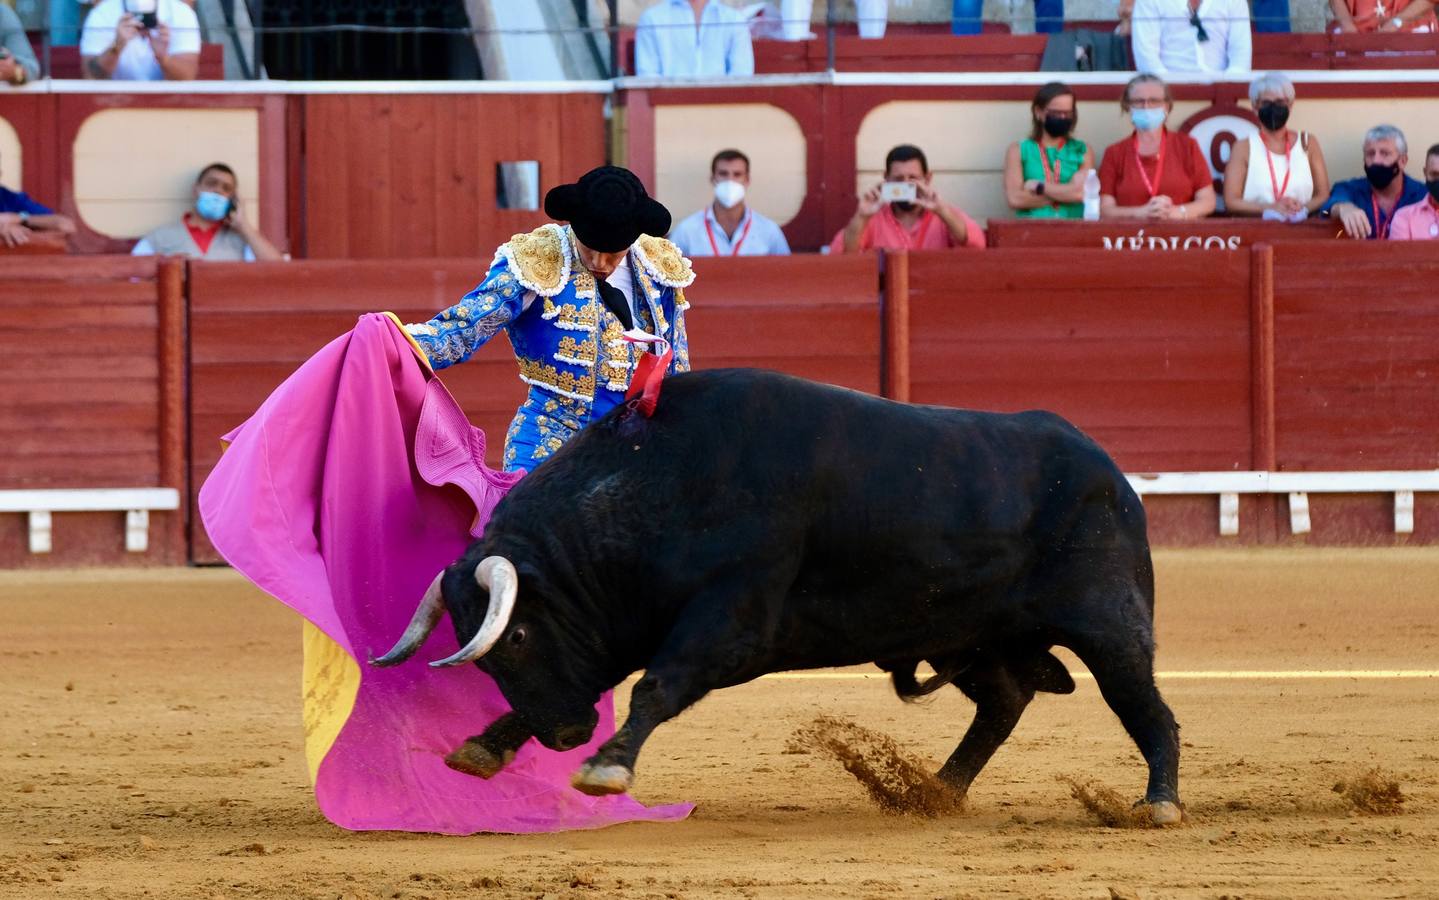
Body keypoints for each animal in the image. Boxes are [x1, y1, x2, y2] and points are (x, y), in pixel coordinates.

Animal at [371, 365, 1179, 823]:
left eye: (516, 635)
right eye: (486, 652)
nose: (567, 734)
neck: (653, 483)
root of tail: (1109, 469)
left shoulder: (727, 621)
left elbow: (656, 687)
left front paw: (605, 767)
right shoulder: (625, 621)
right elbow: (609, 676)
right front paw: (485, 746)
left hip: (1111, 624)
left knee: (1142, 704)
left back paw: (1158, 804)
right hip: (969, 635)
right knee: (1005, 700)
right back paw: (934, 792)